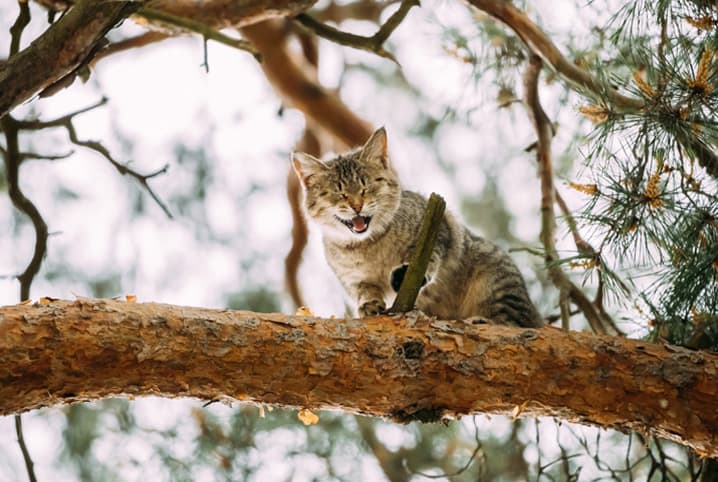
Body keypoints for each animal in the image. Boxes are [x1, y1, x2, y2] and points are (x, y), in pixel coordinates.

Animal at [290, 127, 544, 328]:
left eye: (366, 186)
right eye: (339, 192)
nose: (357, 205)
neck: (369, 246)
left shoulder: (441, 228)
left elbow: (429, 255)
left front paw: (404, 273)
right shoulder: (353, 279)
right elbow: (365, 289)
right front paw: (369, 303)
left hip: (496, 282)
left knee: (514, 322)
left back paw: (483, 320)